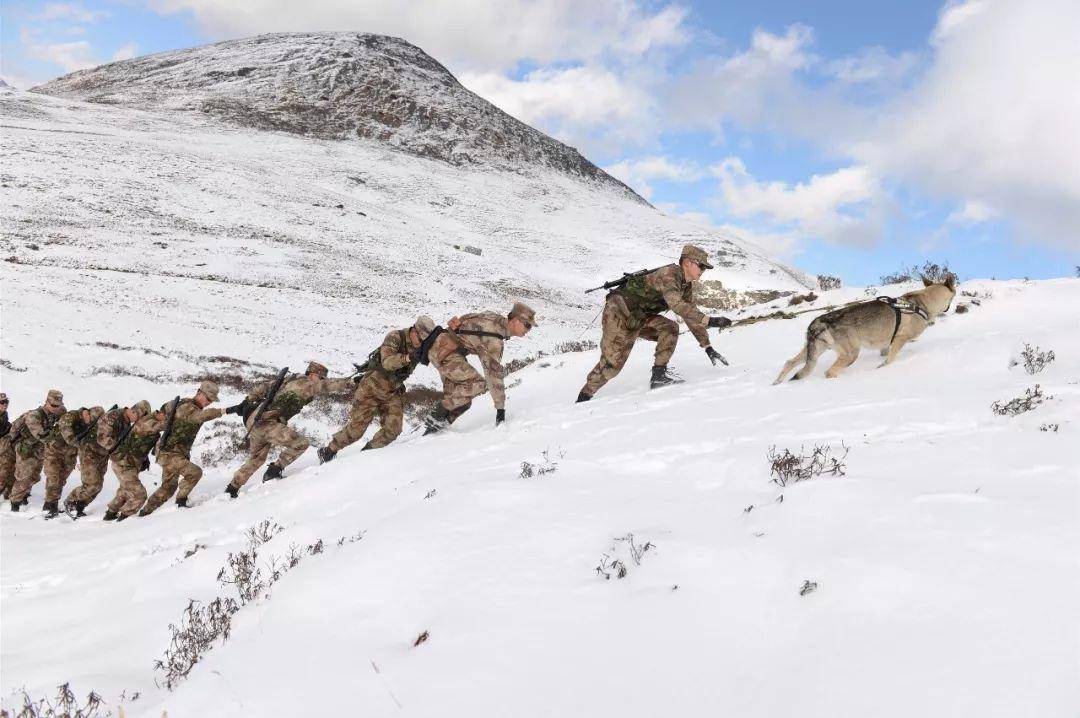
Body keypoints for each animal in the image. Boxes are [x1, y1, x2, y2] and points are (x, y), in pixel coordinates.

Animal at [773, 274, 959, 384]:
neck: (923, 302)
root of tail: (819, 321)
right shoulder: (900, 339)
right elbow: (890, 360)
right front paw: (883, 368)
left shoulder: (887, 344)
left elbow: (886, 354)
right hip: (850, 354)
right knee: (828, 372)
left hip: (814, 351)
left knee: (790, 362)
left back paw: (777, 383)